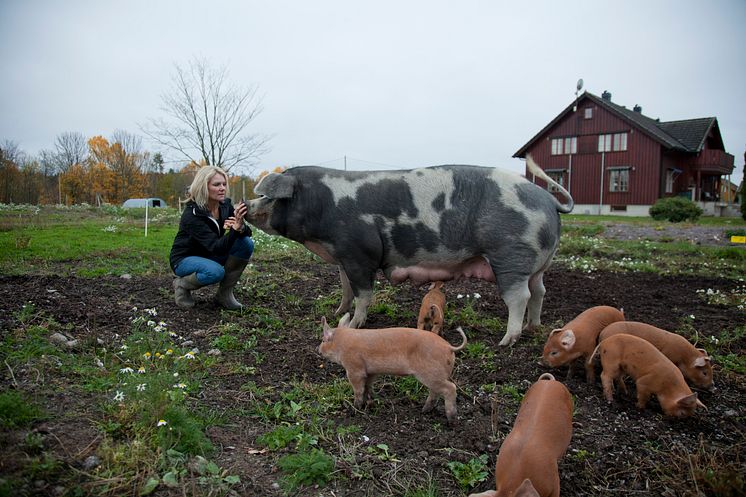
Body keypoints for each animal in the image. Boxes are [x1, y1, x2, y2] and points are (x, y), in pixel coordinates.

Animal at [244, 155, 568, 344]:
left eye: (269, 197)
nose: (246, 205)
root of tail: (549, 200)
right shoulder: (342, 257)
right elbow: (345, 288)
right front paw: (337, 310)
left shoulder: (360, 254)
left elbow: (364, 293)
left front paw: (357, 324)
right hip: (538, 264)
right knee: (539, 292)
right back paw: (533, 328)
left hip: (512, 254)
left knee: (519, 296)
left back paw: (506, 340)